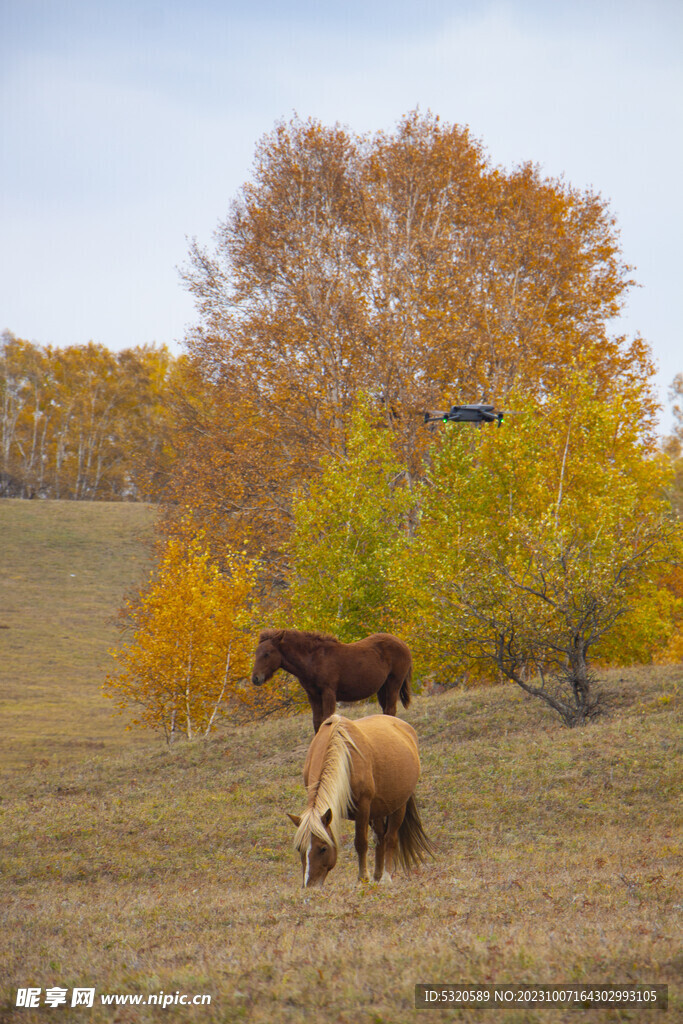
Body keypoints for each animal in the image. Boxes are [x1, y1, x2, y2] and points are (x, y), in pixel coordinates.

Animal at [250, 626, 411, 733]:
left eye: (267, 653)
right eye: (256, 653)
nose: (255, 678)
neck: (313, 660)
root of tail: (403, 644)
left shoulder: (328, 692)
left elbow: (328, 719)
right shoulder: (313, 695)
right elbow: (317, 721)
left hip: (394, 683)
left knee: (390, 709)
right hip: (382, 688)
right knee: (386, 711)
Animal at [286, 712, 436, 888]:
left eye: (323, 848)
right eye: (299, 848)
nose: (310, 886)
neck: (344, 757)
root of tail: (405, 727)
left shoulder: (363, 808)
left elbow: (361, 843)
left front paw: (362, 878)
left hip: (398, 806)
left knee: (390, 838)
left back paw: (385, 877)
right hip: (378, 809)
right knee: (380, 837)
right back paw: (377, 875)